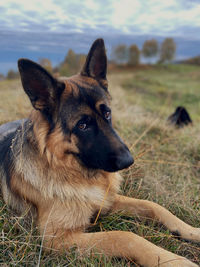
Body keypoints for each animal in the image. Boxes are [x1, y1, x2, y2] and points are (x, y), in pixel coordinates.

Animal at [0, 38, 199, 266]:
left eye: (107, 113)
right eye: (83, 125)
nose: (128, 161)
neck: (72, 170)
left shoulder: (108, 201)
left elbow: (155, 206)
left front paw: (192, 231)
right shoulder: (57, 239)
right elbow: (123, 236)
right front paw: (172, 260)